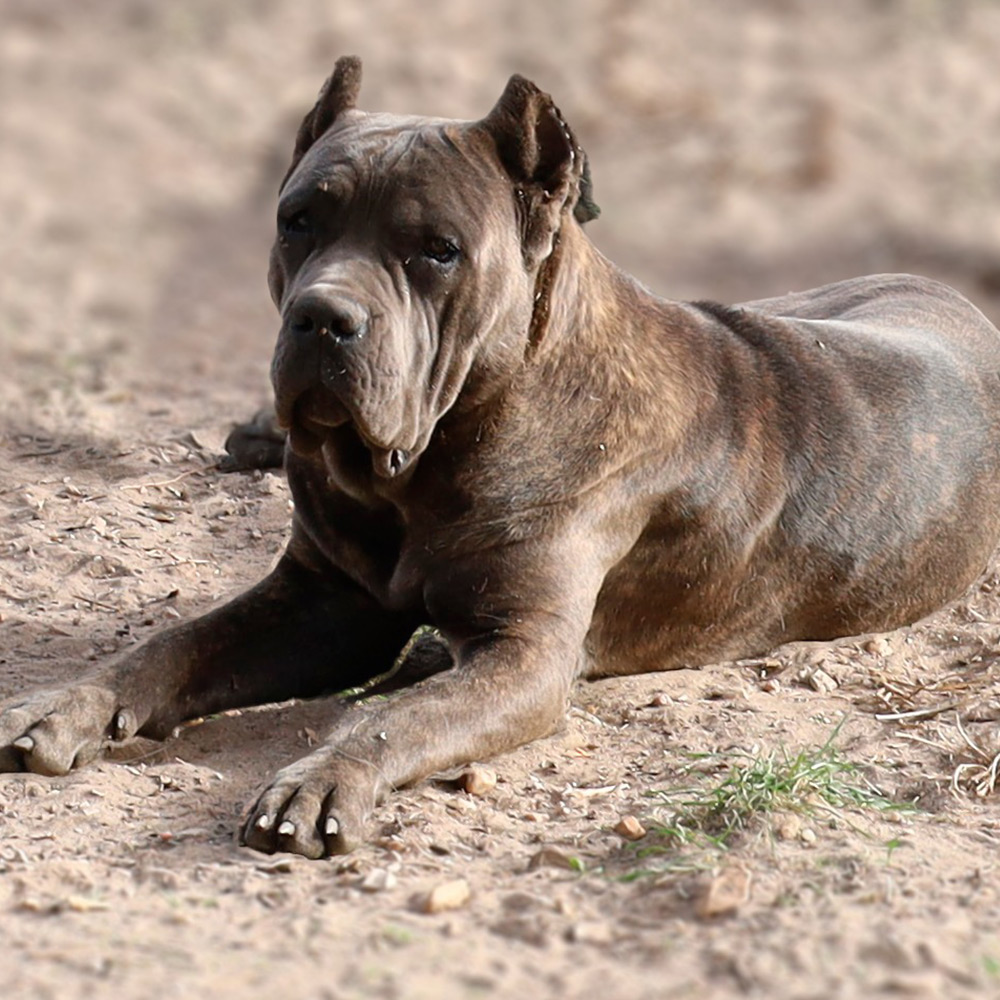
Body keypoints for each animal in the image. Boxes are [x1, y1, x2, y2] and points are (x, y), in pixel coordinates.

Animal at [1, 58, 1000, 856]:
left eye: (436, 251)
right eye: (298, 222)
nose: (322, 316)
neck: (429, 462)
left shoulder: (525, 652)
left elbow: (395, 719)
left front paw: (320, 780)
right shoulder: (320, 602)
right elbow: (172, 645)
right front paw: (65, 705)